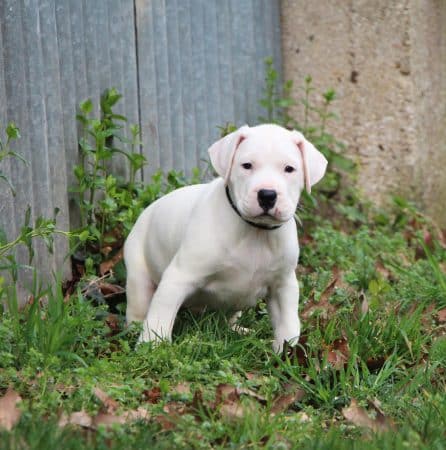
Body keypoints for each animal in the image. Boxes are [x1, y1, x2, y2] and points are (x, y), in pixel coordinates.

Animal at [123, 123, 326, 352]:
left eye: (289, 169)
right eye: (246, 165)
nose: (267, 195)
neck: (256, 232)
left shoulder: (283, 285)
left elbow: (288, 323)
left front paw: (288, 352)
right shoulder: (178, 277)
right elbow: (160, 315)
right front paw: (152, 347)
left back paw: (239, 331)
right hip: (138, 274)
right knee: (139, 306)